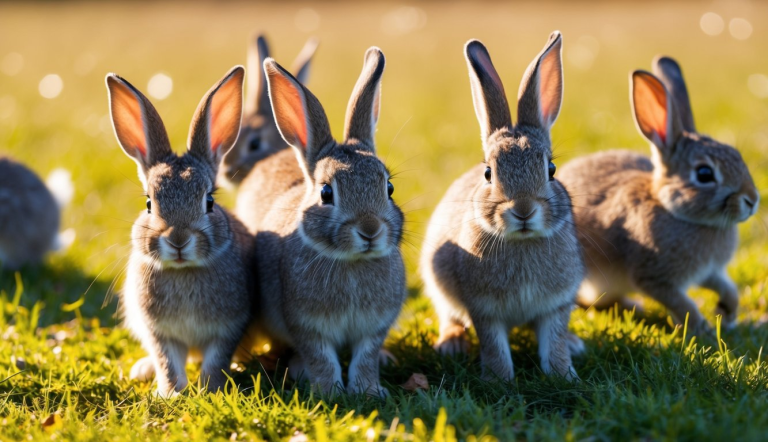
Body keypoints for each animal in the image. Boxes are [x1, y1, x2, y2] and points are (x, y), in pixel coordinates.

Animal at [105, 66, 256, 397]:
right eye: (149, 203)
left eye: (209, 201)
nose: (177, 240)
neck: (183, 270)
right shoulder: (158, 332)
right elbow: (168, 362)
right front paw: (171, 394)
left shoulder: (228, 329)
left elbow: (215, 361)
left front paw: (211, 391)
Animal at [243, 47, 406, 397]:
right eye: (326, 192)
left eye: (389, 188)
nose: (370, 230)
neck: (351, 262)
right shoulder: (306, 326)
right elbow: (321, 358)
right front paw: (328, 391)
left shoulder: (374, 328)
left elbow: (365, 356)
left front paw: (368, 390)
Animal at [420, 32, 583, 383]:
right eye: (488, 173)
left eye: (551, 170)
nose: (523, 210)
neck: (522, 241)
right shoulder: (483, 309)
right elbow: (494, 345)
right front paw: (500, 380)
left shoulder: (556, 306)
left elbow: (555, 343)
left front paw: (563, 375)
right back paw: (451, 344)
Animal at [557, 56, 759, 334]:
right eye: (704, 174)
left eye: (738, 156)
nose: (752, 200)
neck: (673, 210)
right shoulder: (654, 278)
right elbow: (681, 303)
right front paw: (702, 329)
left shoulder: (710, 271)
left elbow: (727, 288)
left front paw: (726, 313)